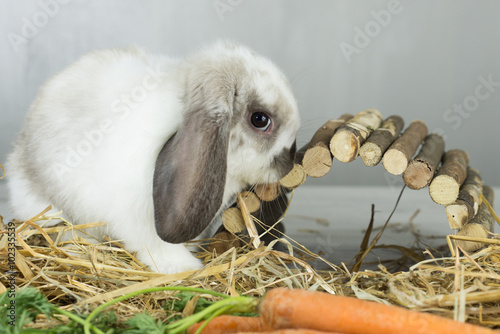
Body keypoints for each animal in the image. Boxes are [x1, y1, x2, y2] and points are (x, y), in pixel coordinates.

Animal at [5, 39, 298, 274]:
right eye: (260, 119)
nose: (290, 158)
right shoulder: (142, 221)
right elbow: (159, 248)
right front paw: (185, 268)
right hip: (52, 210)